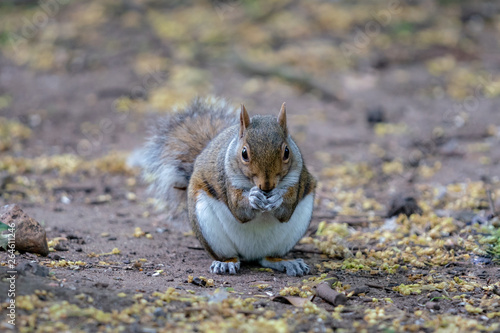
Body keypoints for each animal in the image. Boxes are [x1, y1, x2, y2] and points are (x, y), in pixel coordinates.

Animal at [141, 97, 316, 276]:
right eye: (244, 153)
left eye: (287, 152)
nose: (266, 187)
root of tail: (252, 253)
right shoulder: (227, 180)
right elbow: (239, 209)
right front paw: (253, 197)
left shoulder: (297, 180)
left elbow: (286, 211)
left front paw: (277, 197)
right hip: (208, 228)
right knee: (231, 256)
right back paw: (225, 263)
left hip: (293, 231)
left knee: (268, 258)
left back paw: (287, 263)